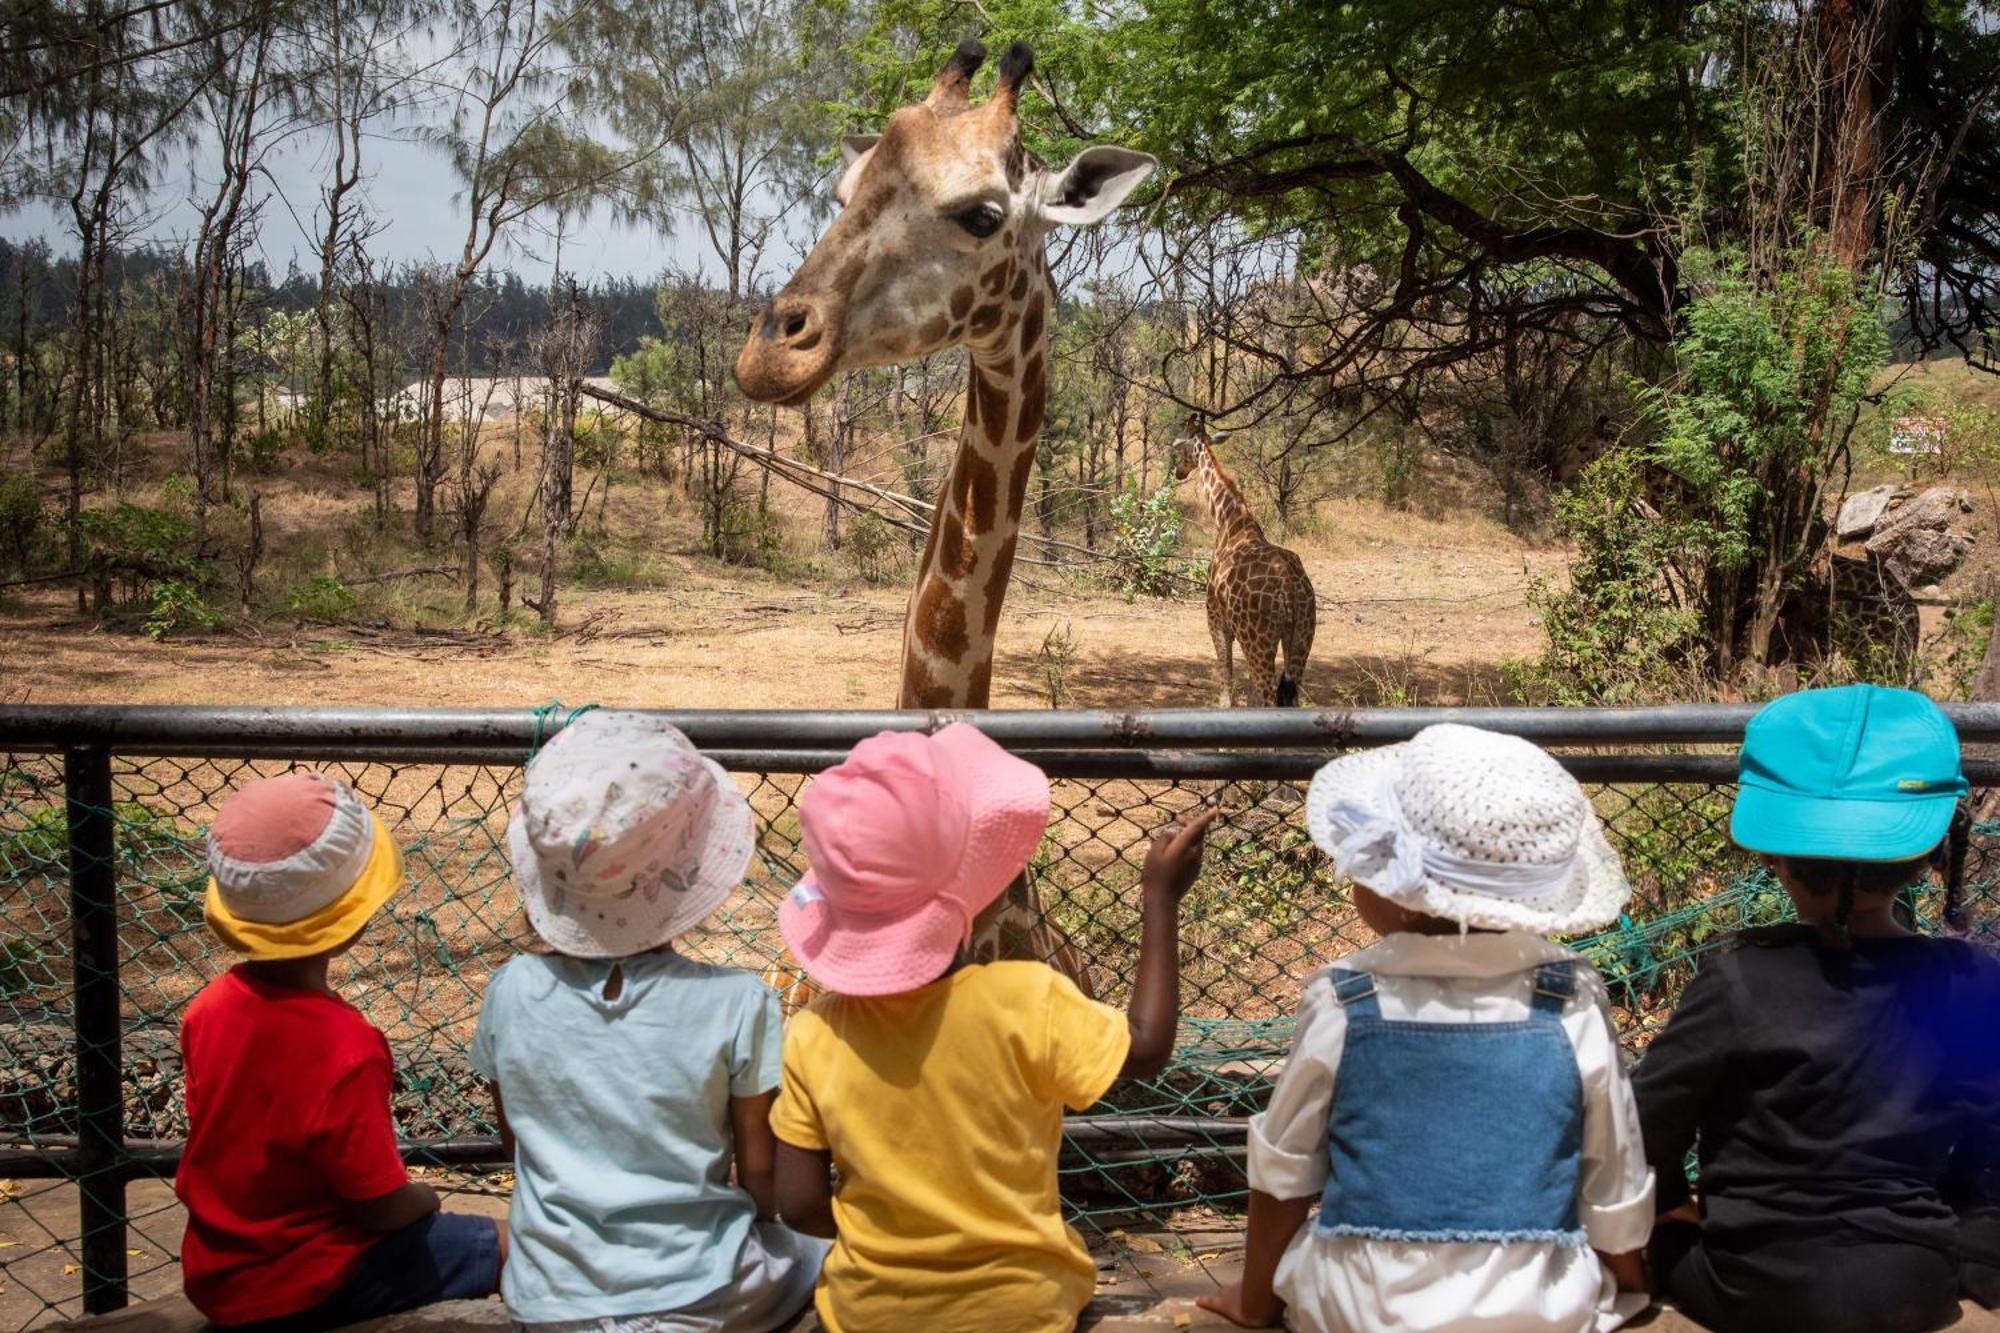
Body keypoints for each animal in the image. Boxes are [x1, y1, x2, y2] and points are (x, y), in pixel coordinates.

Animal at [1168, 428, 1320, 712]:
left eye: (1183, 451)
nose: (1178, 472)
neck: (1227, 520)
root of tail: (1290, 590)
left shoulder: (1215, 615)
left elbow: (1225, 674)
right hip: (1302, 636)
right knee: (1289, 696)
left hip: (1260, 640)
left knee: (1269, 697)